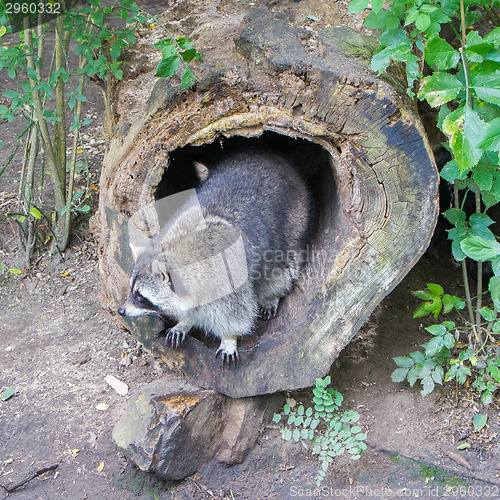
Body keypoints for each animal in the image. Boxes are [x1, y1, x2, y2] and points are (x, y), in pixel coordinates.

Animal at [118, 148, 312, 368]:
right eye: (132, 291)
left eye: (140, 296)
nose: (121, 311)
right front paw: (185, 321)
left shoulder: (229, 282)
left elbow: (237, 313)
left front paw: (229, 338)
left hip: (295, 220)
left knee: (283, 268)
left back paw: (273, 294)